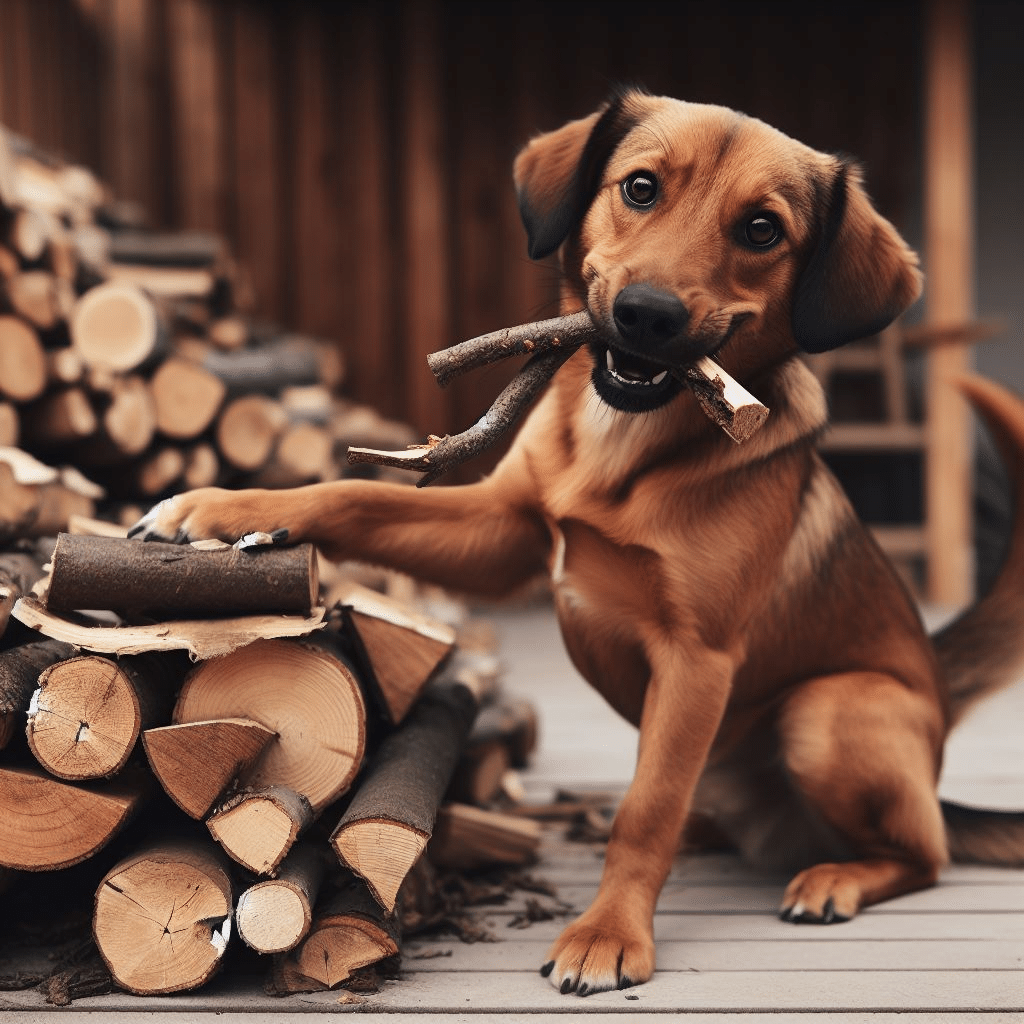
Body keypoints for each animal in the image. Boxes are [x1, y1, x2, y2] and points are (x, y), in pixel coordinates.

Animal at [136, 92, 1024, 995]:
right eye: (639, 187)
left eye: (762, 230)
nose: (648, 315)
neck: (623, 447)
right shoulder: (501, 533)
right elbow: (355, 494)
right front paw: (225, 506)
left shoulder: (696, 660)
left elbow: (647, 808)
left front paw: (610, 932)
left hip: (830, 711)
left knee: (924, 853)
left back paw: (835, 877)